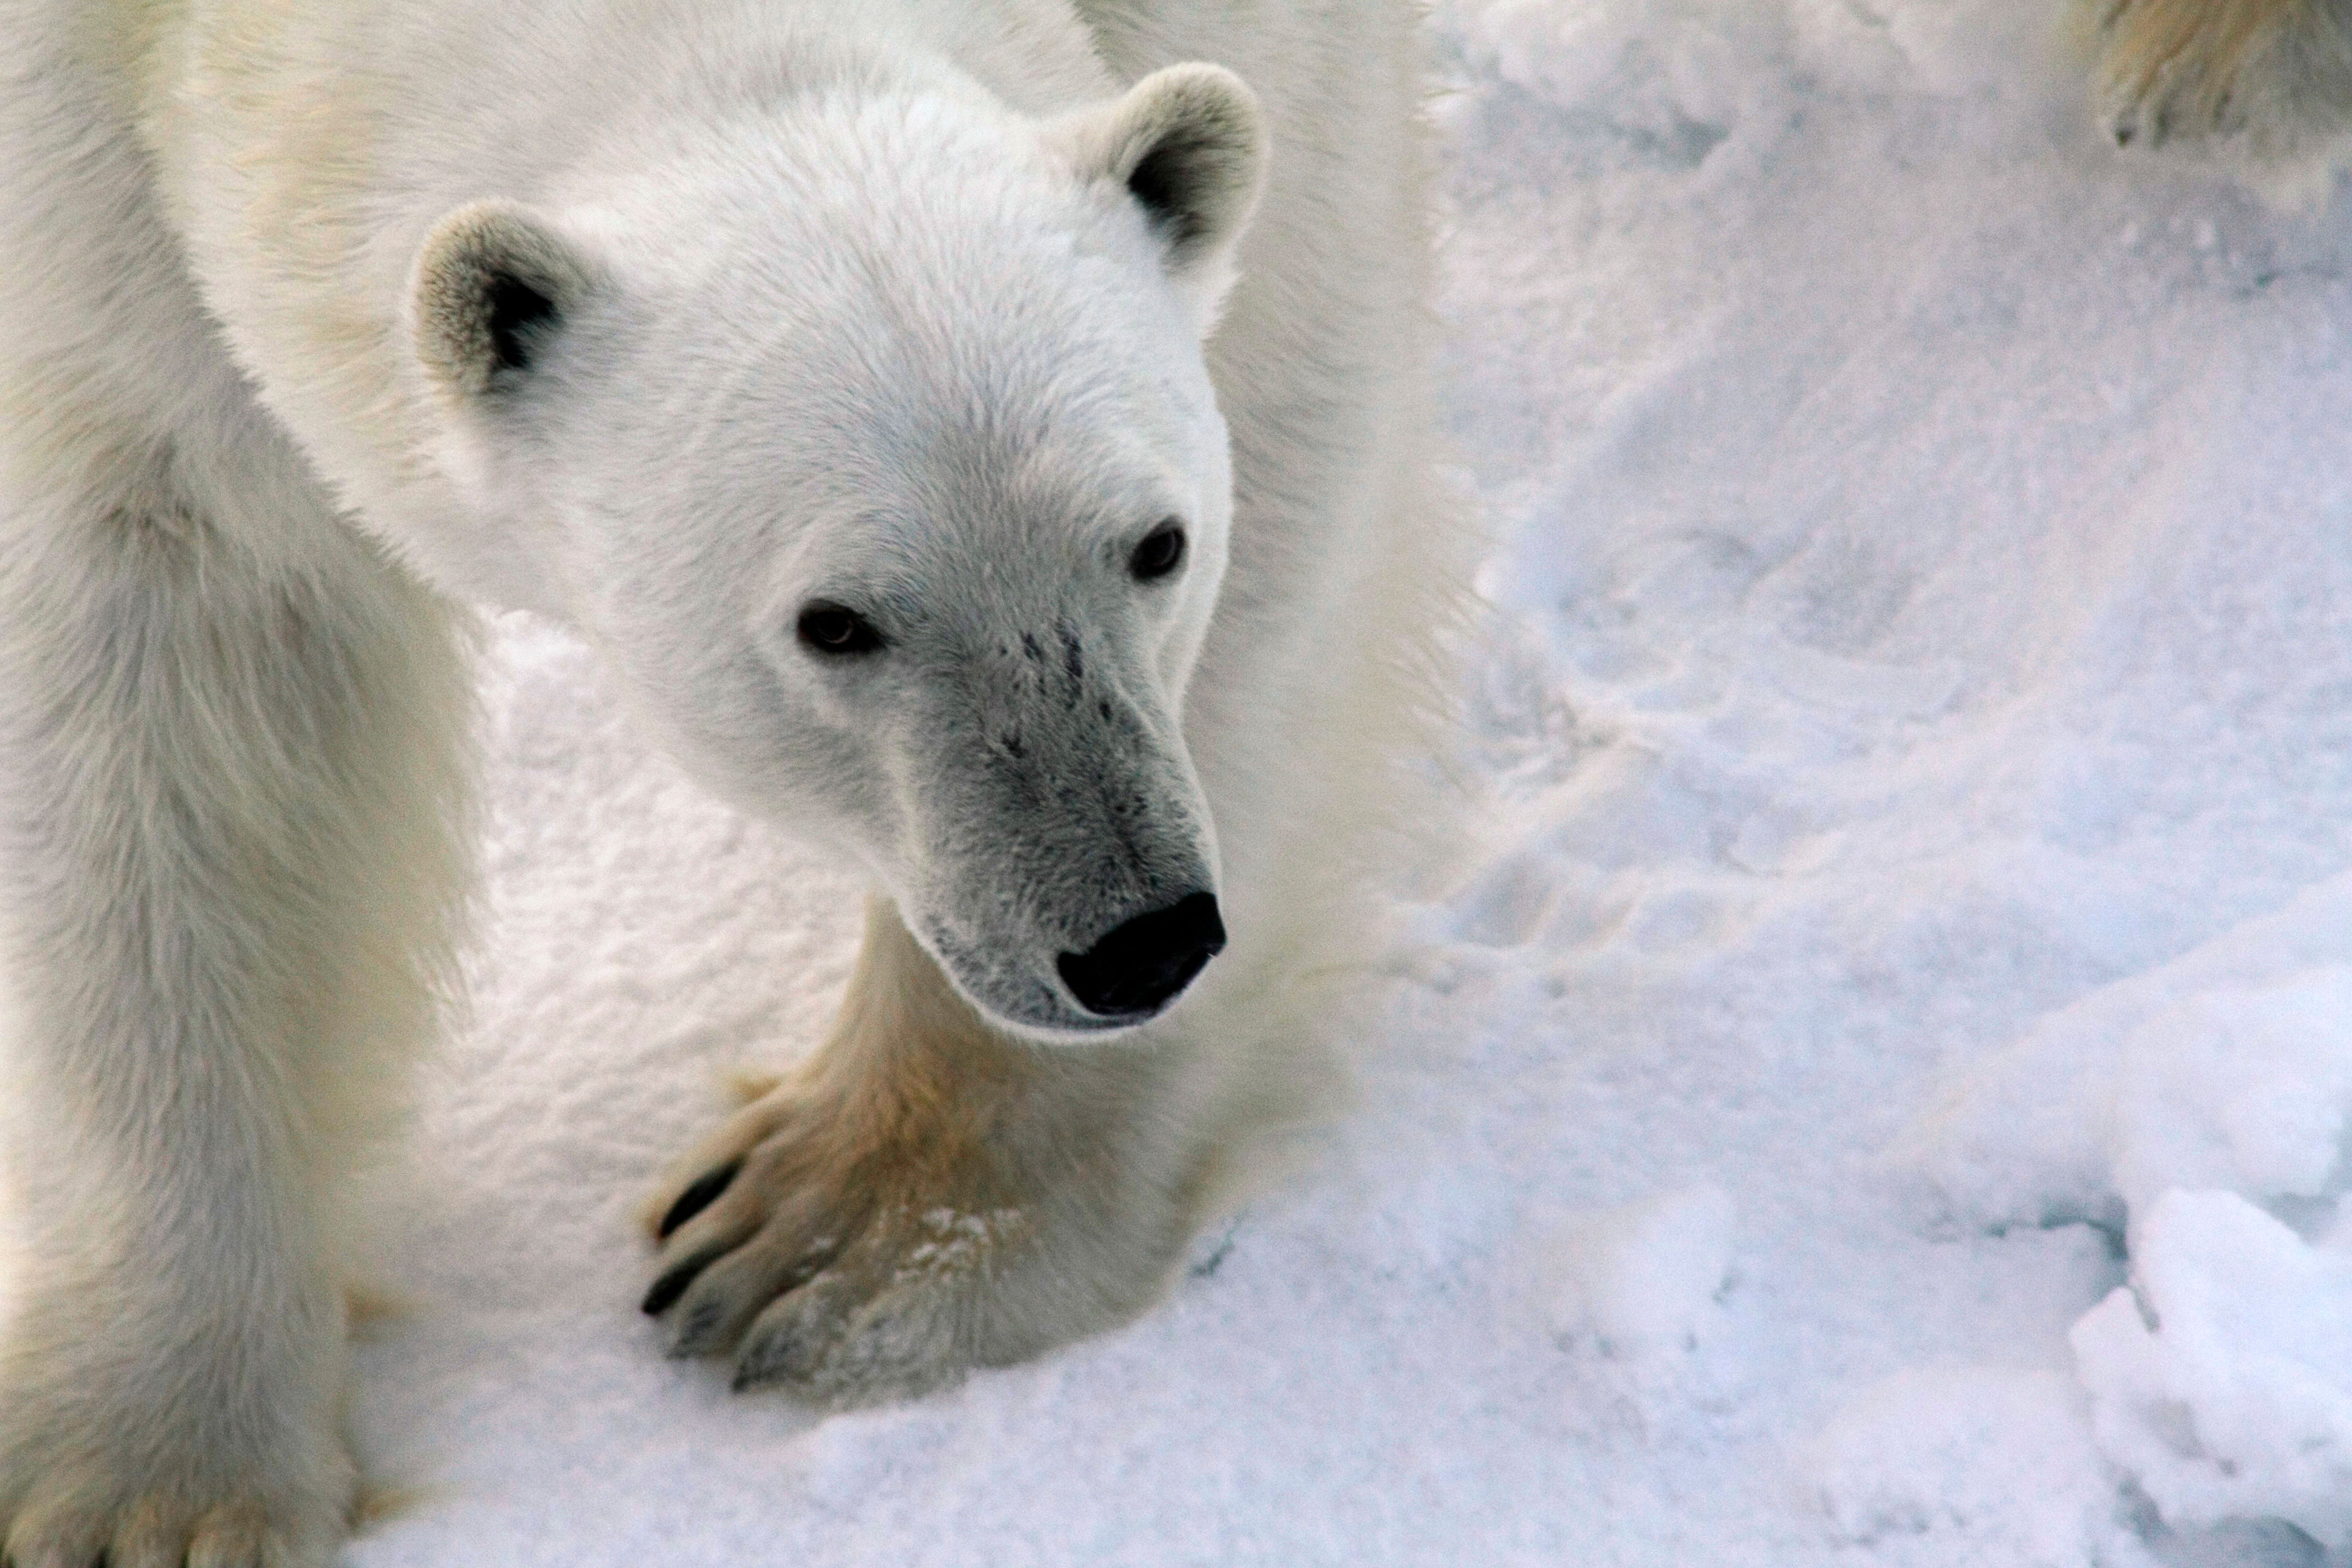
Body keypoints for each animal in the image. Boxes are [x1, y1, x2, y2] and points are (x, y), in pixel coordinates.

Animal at [0, 0, 1454, 1562]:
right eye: (837, 620)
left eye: (1157, 543)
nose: (1138, 938)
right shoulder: (79, 146)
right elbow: (160, 632)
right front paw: (152, 1484)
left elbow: (1290, 385)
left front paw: (824, 1241)